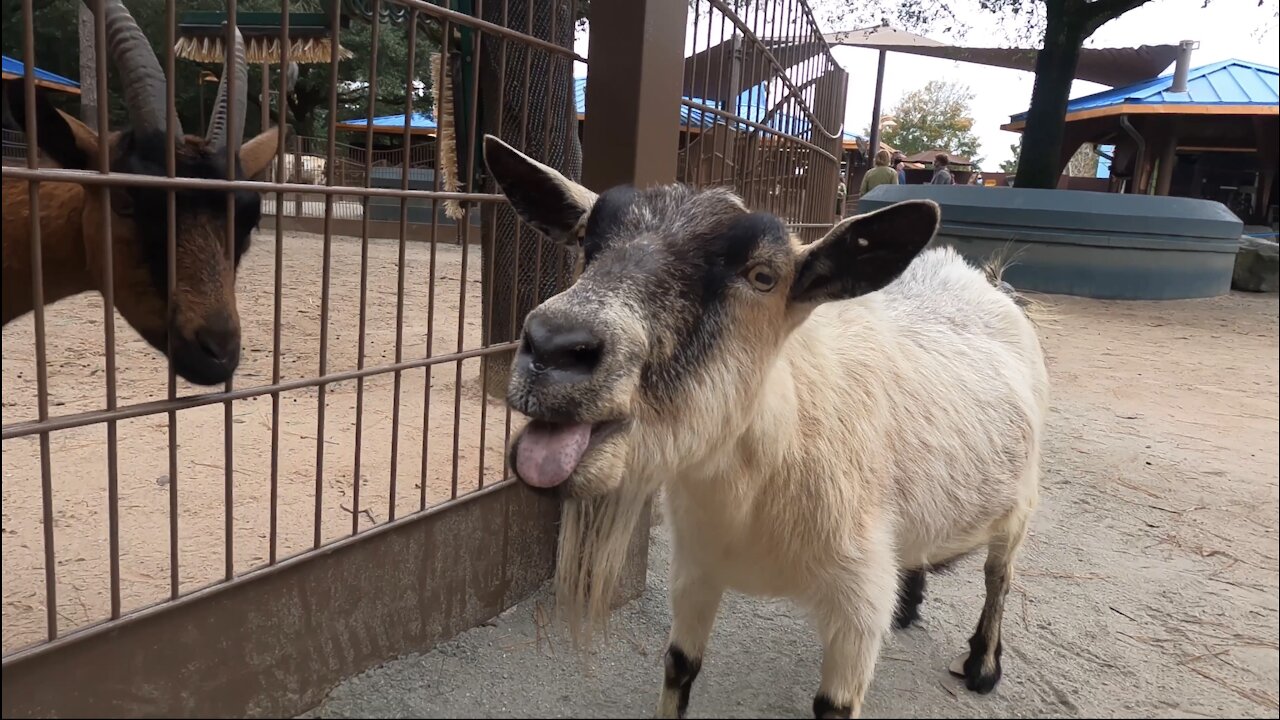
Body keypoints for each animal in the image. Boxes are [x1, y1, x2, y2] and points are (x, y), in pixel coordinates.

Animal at [481, 133, 1049, 712]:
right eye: (586, 245)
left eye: (763, 277)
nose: (554, 345)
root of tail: (975, 276)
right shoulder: (696, 568)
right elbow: (679, 666)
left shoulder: (858, 604)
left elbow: (834, 703)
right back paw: (909, 607)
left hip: (1021, 501)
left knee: (999, 573)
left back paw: (983, 665)